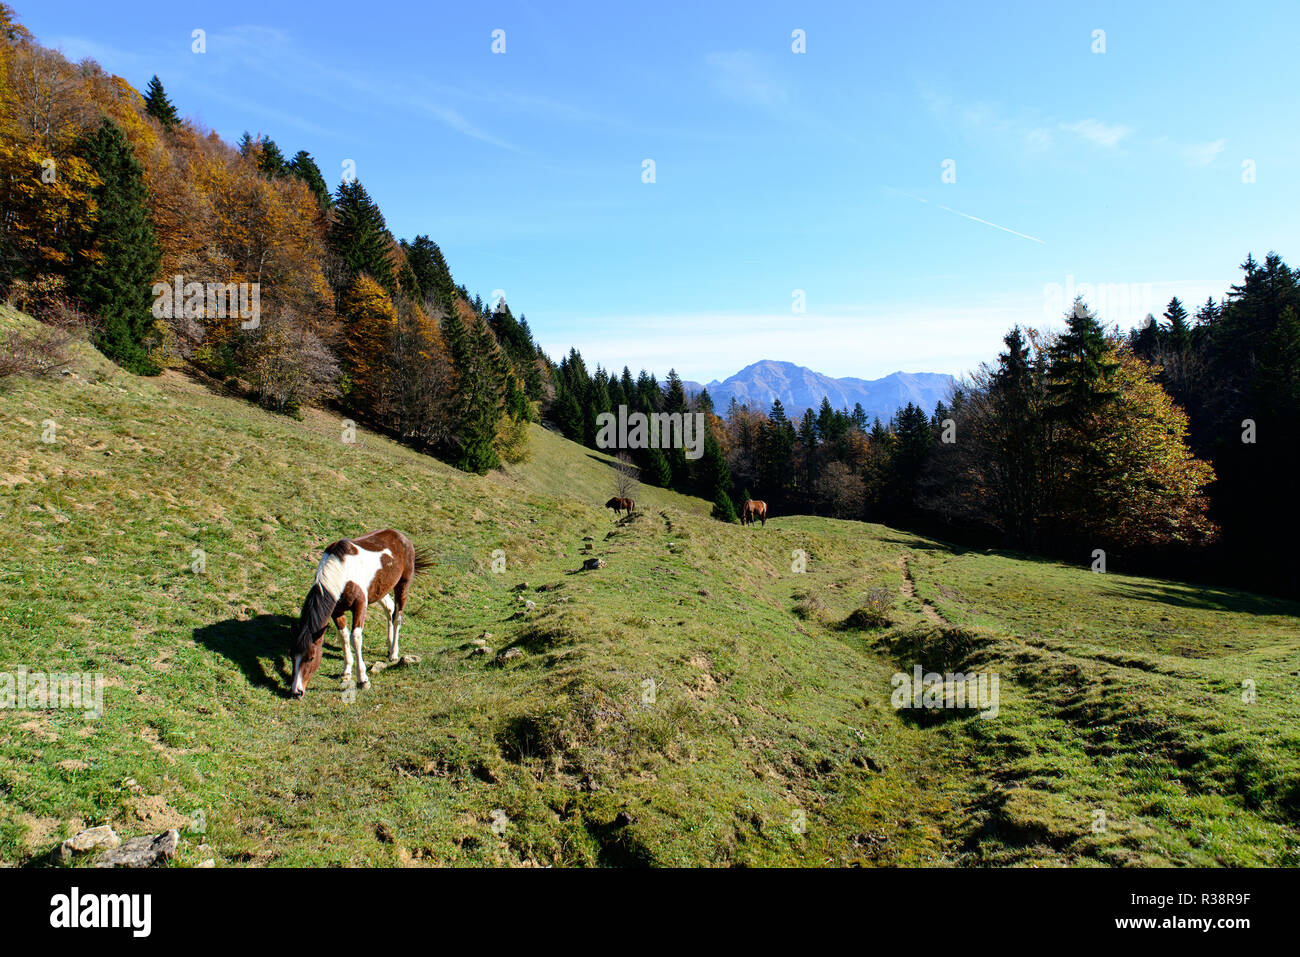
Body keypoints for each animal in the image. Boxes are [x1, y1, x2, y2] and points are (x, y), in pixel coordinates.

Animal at [288, 529, 433, 698]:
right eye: (292, 656)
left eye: (311, 658)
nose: (296, 691)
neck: (342, 571)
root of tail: (402, 537)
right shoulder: (336, 610)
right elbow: (343, 636)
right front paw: (346, 671)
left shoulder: (360, 605)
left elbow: (355, 638)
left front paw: (363, 680)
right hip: (380, 589)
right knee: (389, 609)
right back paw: (389, 645)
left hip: (402, 585)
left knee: (397, 617)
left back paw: (393, 653)